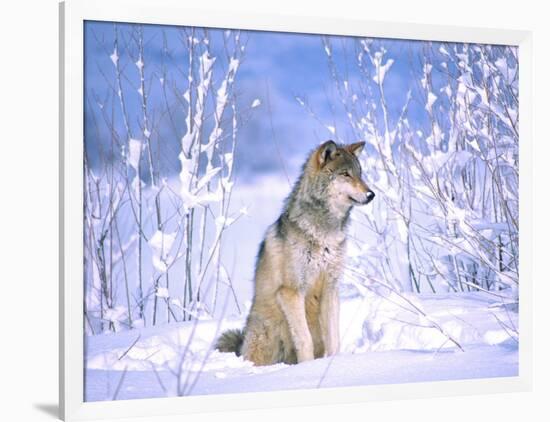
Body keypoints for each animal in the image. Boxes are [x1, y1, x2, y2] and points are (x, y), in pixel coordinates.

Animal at [216, 140, 376, 364]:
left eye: (360, 174)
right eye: (345, 174)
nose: (371, 194)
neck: (324, 232)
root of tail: (242, 344)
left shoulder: (330, 289)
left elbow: (334, 340)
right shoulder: (291, 291)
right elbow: (304, 339)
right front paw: (308, 367)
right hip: (266, 335)